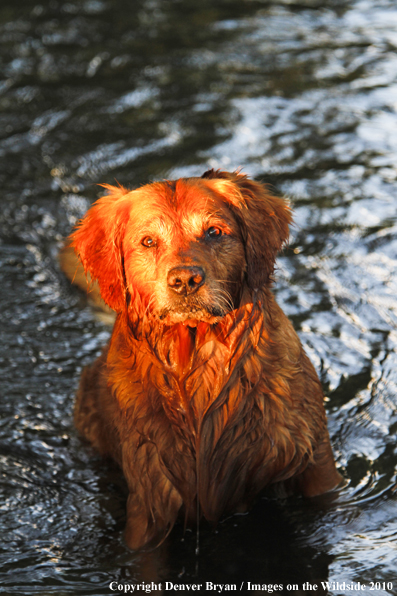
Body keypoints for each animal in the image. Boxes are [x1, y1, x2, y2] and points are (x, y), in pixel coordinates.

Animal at [63, 168, 342, 548]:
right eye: (148, 242)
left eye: (214, 232)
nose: (185, 280)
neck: (199, 366)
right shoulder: (150, 500)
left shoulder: (316, 462)